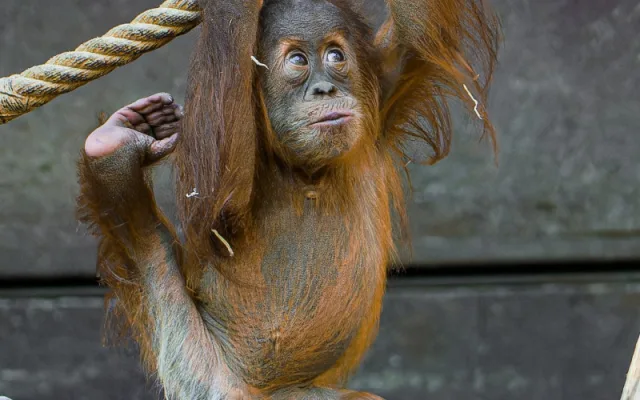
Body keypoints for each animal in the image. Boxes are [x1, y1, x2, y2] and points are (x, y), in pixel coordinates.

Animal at [76, 0, 500, 398]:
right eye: (298, 60)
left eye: (335, 56)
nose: (325, 89)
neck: (305, 167)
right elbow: (213, 202)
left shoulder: (381, 88)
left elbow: (419, 29)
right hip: (199, 367)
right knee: (150, 255)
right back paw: (112, 150)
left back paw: (112, 149)